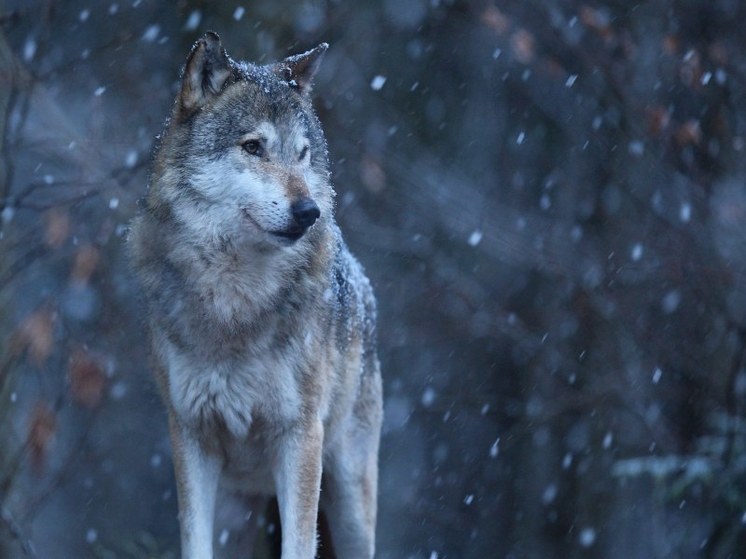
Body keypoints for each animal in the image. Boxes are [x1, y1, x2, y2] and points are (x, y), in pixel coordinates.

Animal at [128, 31, 380, 559]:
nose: (308, 211)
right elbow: (192, 542)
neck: (235, 298)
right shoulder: (190, 434)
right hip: (237, 516)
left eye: (302, 153)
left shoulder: (300, 436)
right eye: (253, 147)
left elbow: (299, 547)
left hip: (350, 505)